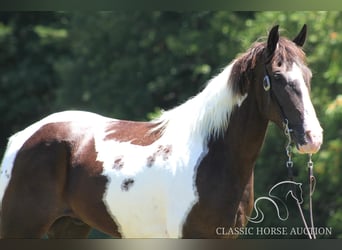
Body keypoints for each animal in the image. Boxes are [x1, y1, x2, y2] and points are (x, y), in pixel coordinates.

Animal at [0, 24, 322, 238]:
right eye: (277, 77)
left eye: (308, 76)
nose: (312, 137)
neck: (213, 157)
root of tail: (22, 138)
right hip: (20, 229)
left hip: (70, 227)